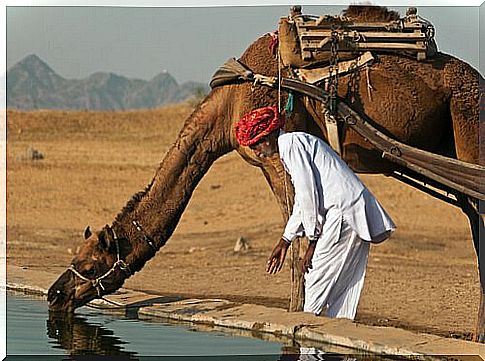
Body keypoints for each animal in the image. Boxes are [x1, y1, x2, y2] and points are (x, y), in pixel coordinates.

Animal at [47, 7, 482, 342]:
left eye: (90, 265)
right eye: (76, 256)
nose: (54, 295)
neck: (228, 107)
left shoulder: (277, 151)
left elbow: (300, 241)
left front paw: (299, 317)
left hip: (468, 126)